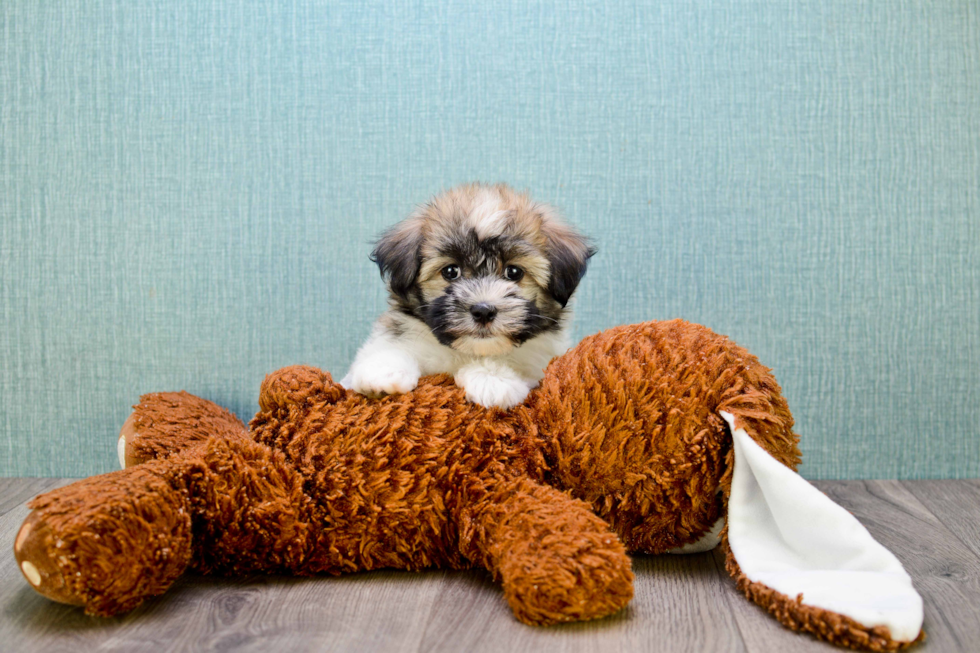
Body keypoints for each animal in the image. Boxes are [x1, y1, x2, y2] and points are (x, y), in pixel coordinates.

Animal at [340, 183, 592, 408]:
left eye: (513, 272)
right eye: (451, 271)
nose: (483, 311)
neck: (468, 351)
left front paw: (492, 379)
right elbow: (389, 348)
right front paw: (383, 372)